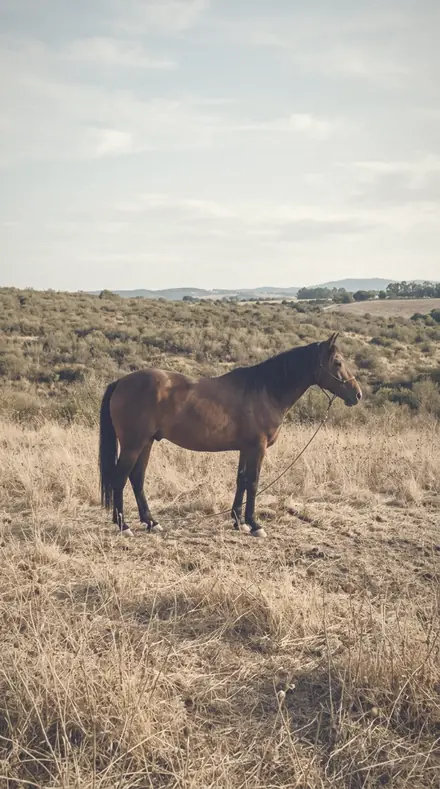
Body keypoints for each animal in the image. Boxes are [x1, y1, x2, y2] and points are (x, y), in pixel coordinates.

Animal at [98, 332, 362, 538]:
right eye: (337, 362)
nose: (357, 394)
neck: (265, 390)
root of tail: (121, 381)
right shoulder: (257, 448)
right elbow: (253, 483)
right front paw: (255, 525)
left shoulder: (246, 448)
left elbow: (241, 481)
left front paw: (239, 521)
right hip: (133, 445)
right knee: (120, 478)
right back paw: (124, 526)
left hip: (146, 443)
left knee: (137, 478)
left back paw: (151, 522)